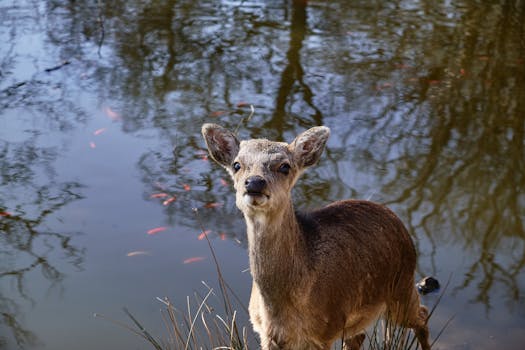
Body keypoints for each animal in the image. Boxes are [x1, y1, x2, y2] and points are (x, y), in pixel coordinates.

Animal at [201, 123, 430, 350]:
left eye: (285, 166)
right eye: (237, 165)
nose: (255, 182)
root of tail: (400, 224)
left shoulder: (325, 330)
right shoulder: (265, 333)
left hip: (401, 287)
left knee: (422, 314)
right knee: (359, 337)